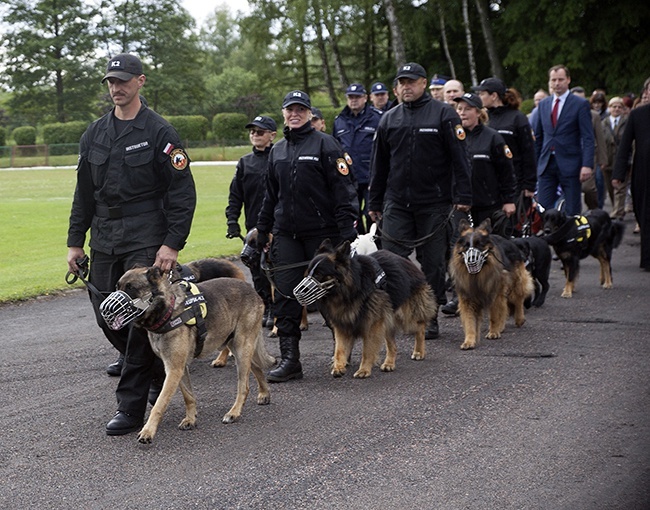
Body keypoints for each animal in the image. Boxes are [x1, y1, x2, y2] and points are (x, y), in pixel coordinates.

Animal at [112, 266, 272, 442]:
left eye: (130, 288)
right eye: (117, 287)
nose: (108, 309)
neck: (167, 311)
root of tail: (251, 289)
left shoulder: (174, 370)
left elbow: (160, 404)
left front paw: (148, 431)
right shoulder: (178, 369)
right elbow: (188, 396)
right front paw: (190, 419)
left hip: (242, 347)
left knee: (244, 386)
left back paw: (234, 412)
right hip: (237, 347)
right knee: (256, 367)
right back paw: (264, 393)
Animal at [298, 240, 436, 378]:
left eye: (318, 274)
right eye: (308, 273)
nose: (298, 293)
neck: (352, 288)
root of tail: (406, 261)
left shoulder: (372, 324)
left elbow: (367, 350)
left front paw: (364, 370)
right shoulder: (342, 325)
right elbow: (339, 349)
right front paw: (339, 366)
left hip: (406, 314)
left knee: (420, 327)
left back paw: (419, 351)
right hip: (387, 319)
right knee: (393, 345)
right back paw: (389, 363)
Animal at [448, 219, 536, 350]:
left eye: (479, 244)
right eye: (466, 246)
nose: (471, 259)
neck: (478, 275)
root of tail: (509, 241)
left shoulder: (495, 294)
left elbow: (494, 316)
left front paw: (494, 332)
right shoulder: (467, 299)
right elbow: (469, 321)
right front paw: (469, 340)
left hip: (516, 282)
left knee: (518, 298)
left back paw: (519, 318)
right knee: (505, 305)